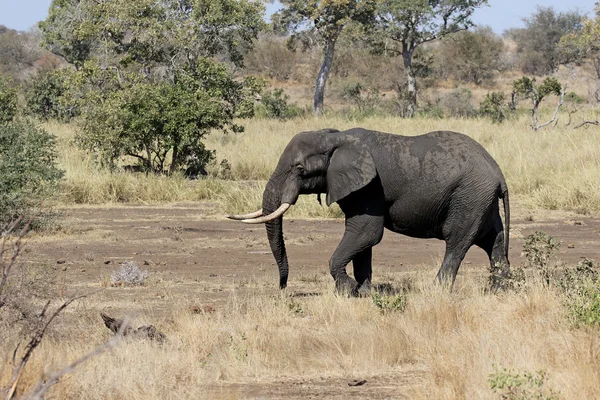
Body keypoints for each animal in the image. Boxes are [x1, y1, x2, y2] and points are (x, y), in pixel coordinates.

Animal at [227, 128, 508, 294]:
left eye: (299, 169)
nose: (283, 288)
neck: (335, 137)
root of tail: (498, 171)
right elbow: (362, 241)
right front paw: (363, 292)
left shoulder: (369, 187)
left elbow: (366, 232)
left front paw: (348, 290)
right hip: (480, 200)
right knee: (493, 242)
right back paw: (501, 291)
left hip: (469, 197)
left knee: (457, 242)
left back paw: (435, 291)